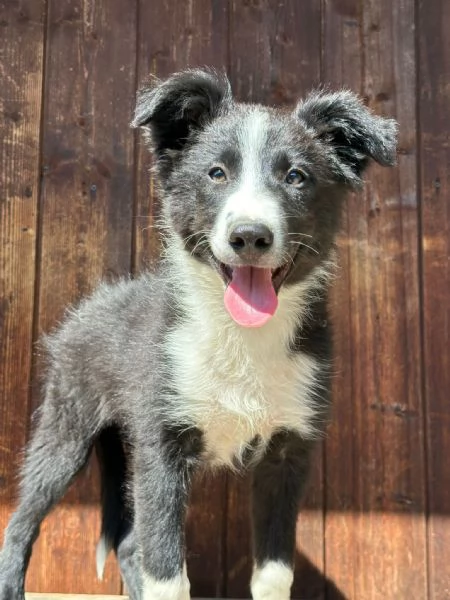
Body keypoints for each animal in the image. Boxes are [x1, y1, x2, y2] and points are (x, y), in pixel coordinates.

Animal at [0, 68, 396, 596]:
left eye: (295, 177)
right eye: (216, 173)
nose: (250, 236)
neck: (240, 335)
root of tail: (87, 306)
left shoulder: (287, 451)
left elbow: (274, 574)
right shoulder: (161, 448)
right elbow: (168, 574)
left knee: (129, 543)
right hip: (66, 427)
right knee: (23, 521)